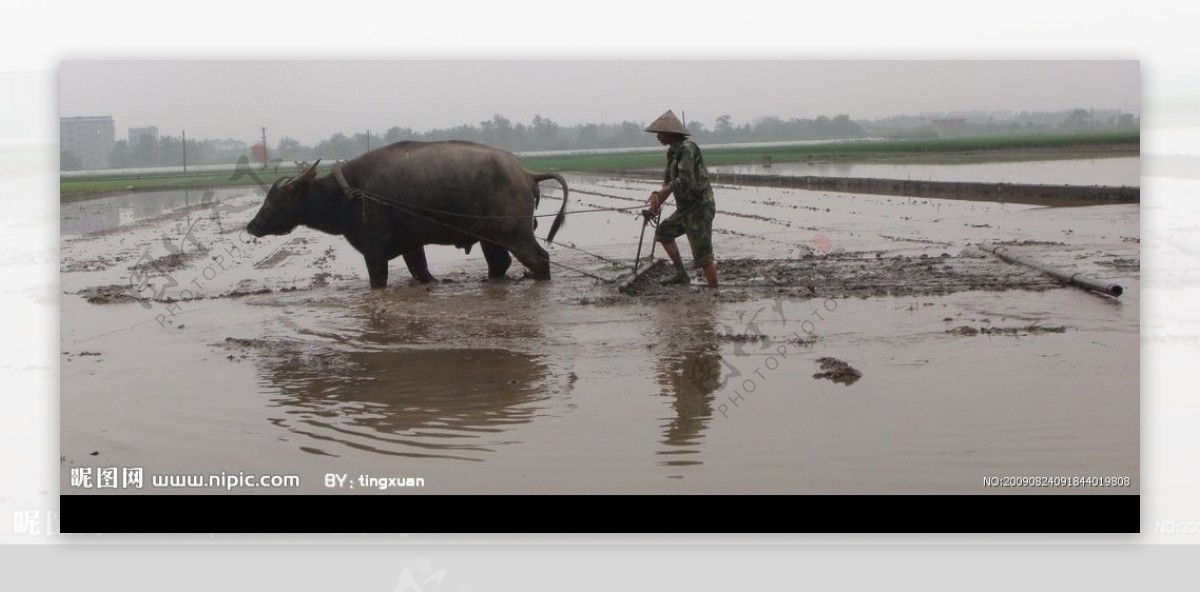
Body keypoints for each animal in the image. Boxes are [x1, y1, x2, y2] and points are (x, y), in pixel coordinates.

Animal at [246, 139, 568, 286]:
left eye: (274, 202)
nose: (252, 225)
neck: (348, 193)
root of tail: (525, 173)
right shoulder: (412, 245)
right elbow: (420, 272)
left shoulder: (374, 249)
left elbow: (379, 279)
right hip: (491, 237)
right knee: (499, 264)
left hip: (515, 233)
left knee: (539, 259)